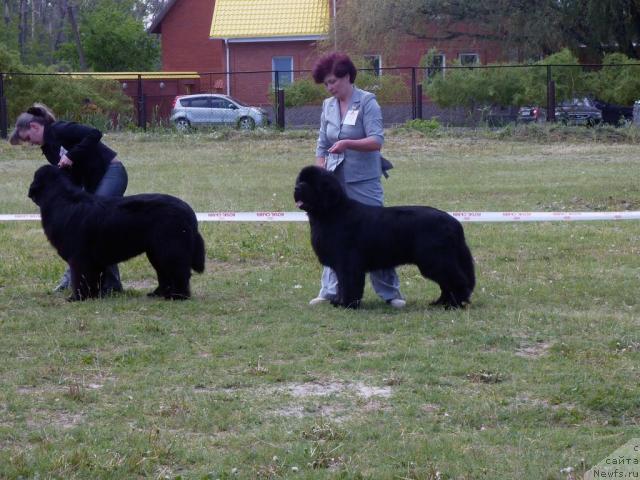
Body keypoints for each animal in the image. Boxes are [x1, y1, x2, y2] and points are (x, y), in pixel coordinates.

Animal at [28, 165, 205, 300]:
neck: (61, 200)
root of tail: (188, 210)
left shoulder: (79, 258)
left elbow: (80, 278)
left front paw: (77, 297)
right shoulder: (94, 260)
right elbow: (93, 279)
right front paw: (94, 296)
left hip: (169, 249)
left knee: (179, 272)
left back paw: (178, 296)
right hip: (157, 252)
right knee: (165, 274)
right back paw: (158, 294)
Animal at [296, 164, 476, 308]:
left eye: (313, 183)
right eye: (300, 180)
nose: (297, 188)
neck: (332, 212)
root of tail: (454, 222)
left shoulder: (348, 263)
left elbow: (348, 283)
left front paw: (347, 304)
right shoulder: (340, 264)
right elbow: (341, 284)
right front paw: (339, 302)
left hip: (436, 259)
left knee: (455, 280)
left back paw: (454, 303)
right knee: (446, 283)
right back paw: (440, 302)